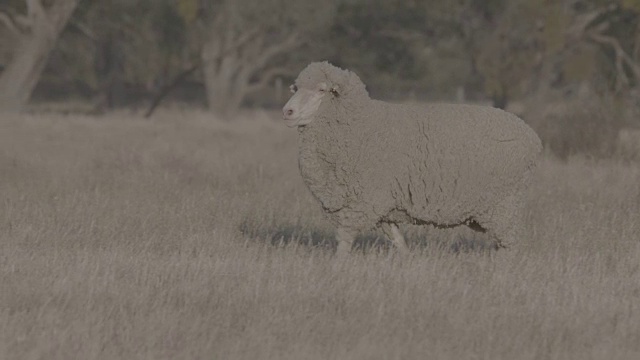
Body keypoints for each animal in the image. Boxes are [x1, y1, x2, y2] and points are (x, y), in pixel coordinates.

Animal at [282, 62, 544, 255]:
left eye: (321, 90)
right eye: (296, 88)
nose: (287, 112)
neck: (360, 125)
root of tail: (532, 136)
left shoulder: (363, 202)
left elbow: (344, 241)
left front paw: (338, 268)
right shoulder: (381, 206)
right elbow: (397, 240)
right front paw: (407, 261)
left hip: (504, 203)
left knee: (511, 246)